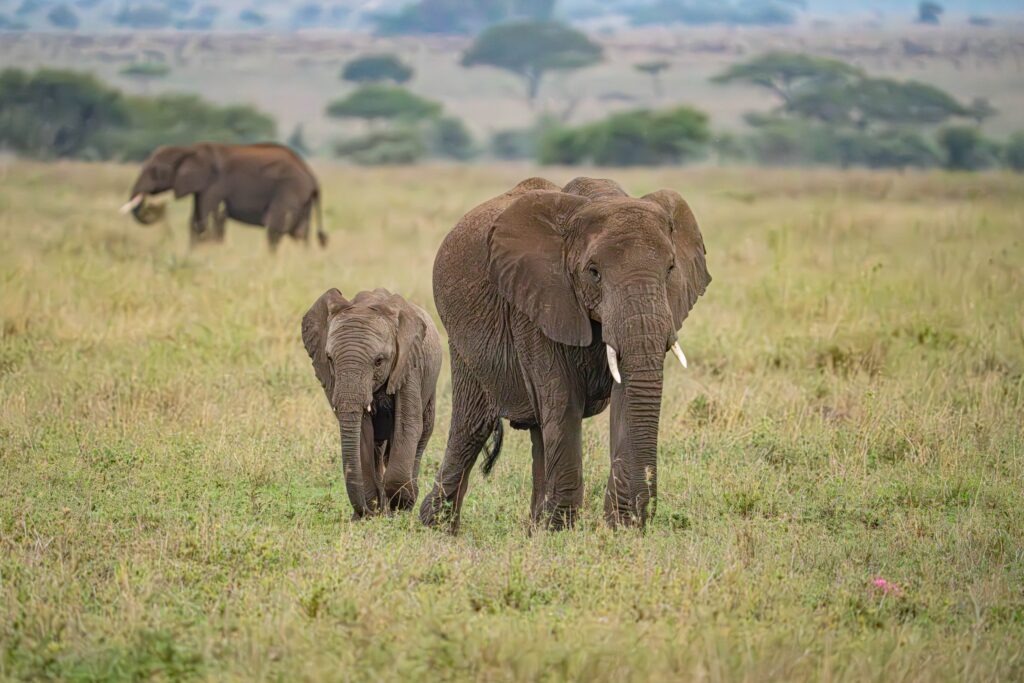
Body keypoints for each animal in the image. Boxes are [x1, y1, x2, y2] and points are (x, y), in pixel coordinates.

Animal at [119, 142, 327, 250]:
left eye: (154, 171)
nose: (155, 207)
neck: (190, 149)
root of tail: (311, 175)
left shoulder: (214, 185)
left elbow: (203, 220)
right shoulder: (201, 188)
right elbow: (196, 221)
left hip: (289, 188)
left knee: (276, 225)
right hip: (303, 198)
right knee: (300, 231)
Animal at [303, 286, 448, 518]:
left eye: (379, 361)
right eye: (330, 359)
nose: (364, 512)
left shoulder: (409, 365)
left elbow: (407, 426)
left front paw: (400, 506)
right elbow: (362, 432)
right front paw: (373, 511)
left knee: (423, 433)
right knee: (377, 449)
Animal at [419, 176, 708, 532]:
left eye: (670, 269)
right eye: (593, 272)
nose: (643, 518)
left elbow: (625, 396)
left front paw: (619, 527)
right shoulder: (535, 300)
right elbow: (562, 397)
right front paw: (562, 530)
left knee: (538, 432)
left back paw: (533, 529)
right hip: (462, 342)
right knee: (472, 427)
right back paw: (436, 527)